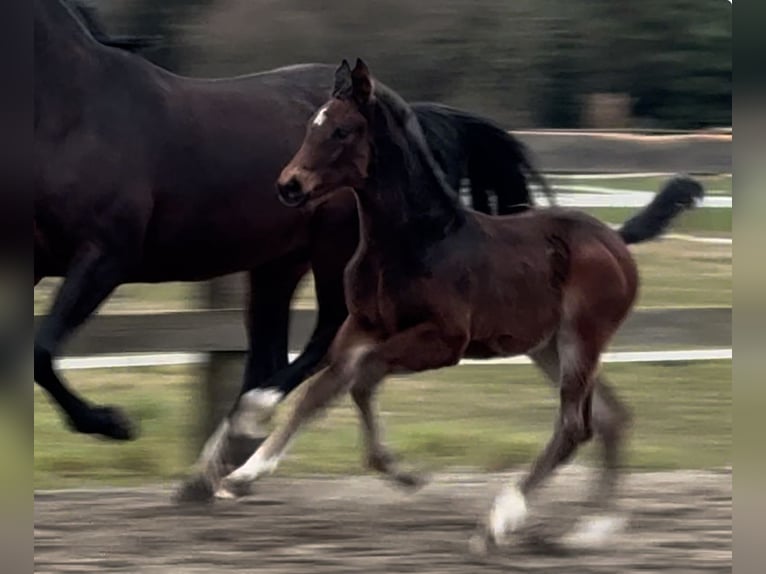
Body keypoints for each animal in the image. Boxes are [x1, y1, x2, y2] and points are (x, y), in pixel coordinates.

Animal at [220, 60, 704, 552]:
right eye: (311, 126)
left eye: (341, 130)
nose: (289, 185)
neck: (415, 242)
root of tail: (615, 239)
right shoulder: (361, 327)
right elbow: (323, 390)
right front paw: (243, 476)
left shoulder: (444, 341)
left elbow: (361, 379)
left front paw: (404, 473)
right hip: (548, 347)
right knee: (609, 417)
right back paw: (591, 529)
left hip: (581, 339)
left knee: (575, 426)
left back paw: (499, 521)